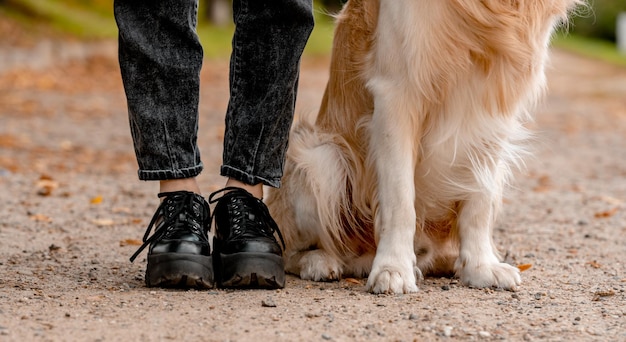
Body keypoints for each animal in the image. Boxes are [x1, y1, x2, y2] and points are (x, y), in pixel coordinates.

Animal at [264, 0, 580, 294]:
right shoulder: (397, 93)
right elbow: (400, 201)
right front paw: (393, 269)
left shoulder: (493, 109)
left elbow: (479, 203)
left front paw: (481, 267)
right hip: (321, 158)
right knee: (290, 248)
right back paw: (321, 261)